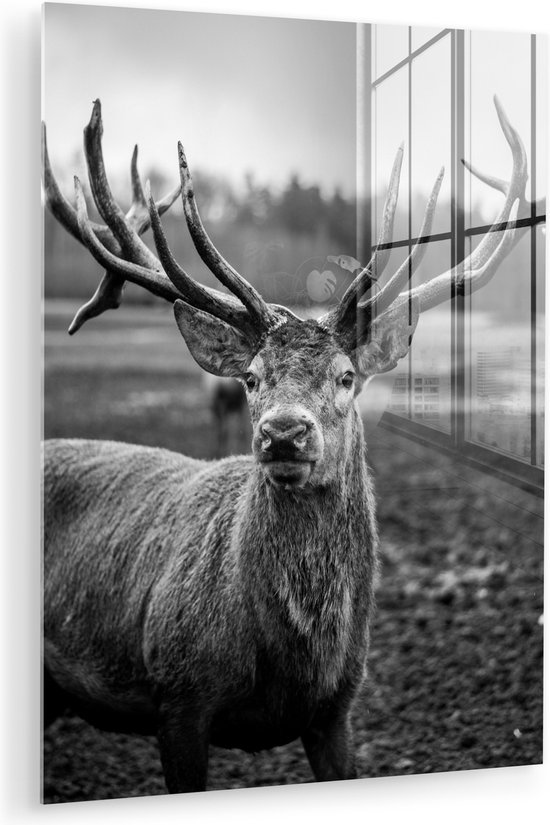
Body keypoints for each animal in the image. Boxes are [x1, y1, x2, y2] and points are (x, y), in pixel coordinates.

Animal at [42, 97, 531, 794]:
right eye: (251, 377)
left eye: (347, 377)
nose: (283, 432)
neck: (294, 663)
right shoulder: (178, 696)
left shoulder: (337, 710)